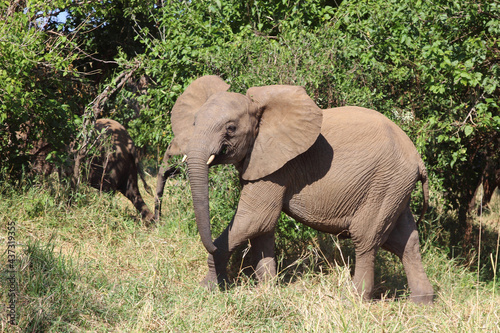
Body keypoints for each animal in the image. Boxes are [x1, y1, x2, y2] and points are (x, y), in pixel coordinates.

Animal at [156, 75, 434, 304]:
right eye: (194, 122)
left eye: (231, 129)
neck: (259, 109)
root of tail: (418, 159)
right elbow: (263, 227)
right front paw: (267, 290)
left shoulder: (279, 167)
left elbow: (253, 219)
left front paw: (205, 288)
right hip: (394, 187)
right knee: (406, 241)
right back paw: (422, 302)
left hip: (384, 183)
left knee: (366, 239)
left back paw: (352, 301)